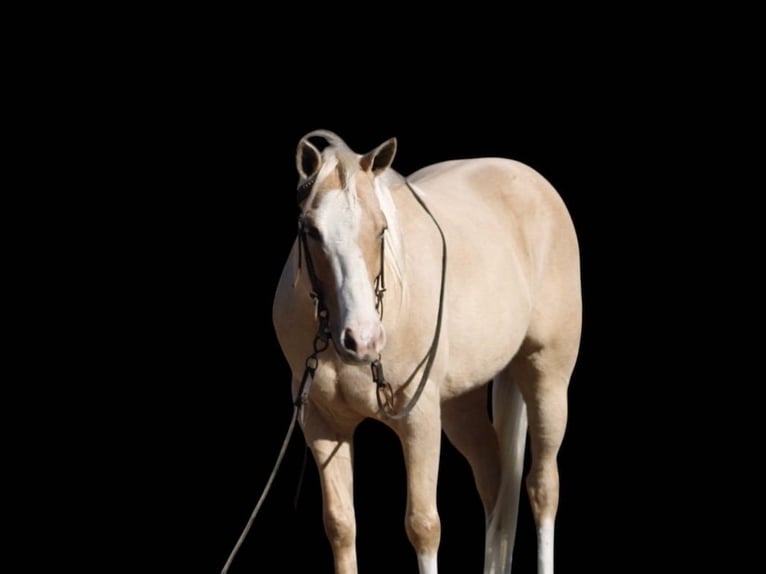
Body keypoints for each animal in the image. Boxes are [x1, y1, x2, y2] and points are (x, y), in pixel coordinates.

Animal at [272, 129, 582, 574]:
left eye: (381, 229)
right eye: (311, 230)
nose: (363, 340)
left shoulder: (418, 420)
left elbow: (423, 526)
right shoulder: (322, 424)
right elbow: (341, 526)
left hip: (547, 377)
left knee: (542, 487)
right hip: (459, 404)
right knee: (496, 484)